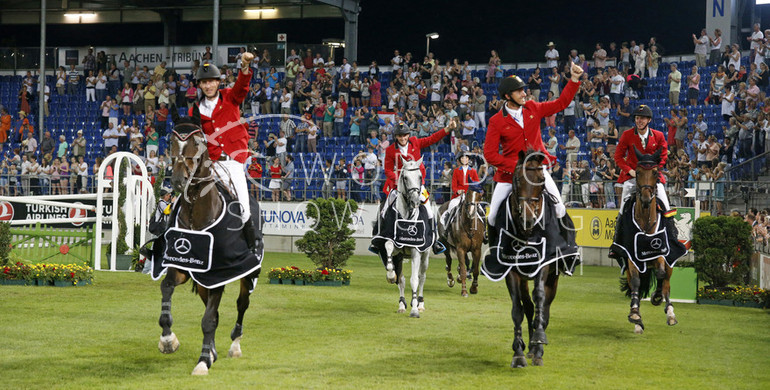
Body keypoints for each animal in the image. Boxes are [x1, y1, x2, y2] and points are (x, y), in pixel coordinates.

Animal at [154, 108, 266, 376]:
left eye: (197, 141)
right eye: (171, 141)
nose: (178, 180)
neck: (197, 209)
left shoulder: (219, 274)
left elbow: (209, 319)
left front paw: (203, 361)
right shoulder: (183, 268)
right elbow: (167, 289)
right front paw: (168, 340)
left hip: (247, 274)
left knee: (241, 304)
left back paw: (234, 346)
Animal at [372, 155, 432, 316]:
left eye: (420, 176)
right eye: (405, 177)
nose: (415, 201)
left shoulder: (416, 250)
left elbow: (415, 280)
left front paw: (415, 310)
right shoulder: (391, 245)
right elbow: (389, 254)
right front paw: (390, 276)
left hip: (425, 255)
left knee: (422, 277)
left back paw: (420, 303)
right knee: (402, 279)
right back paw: (402, 304)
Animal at [616, 148, 680, 334]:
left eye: (655, 172)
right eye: (637, 172)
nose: (645, 198)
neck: (645, 220)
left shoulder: (660, 252)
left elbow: (661, 274)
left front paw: (657, 297)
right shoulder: (632, 256)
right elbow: (636, 283)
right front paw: (635, 315)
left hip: (669, 260)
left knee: (666, 282)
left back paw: (670, 312)